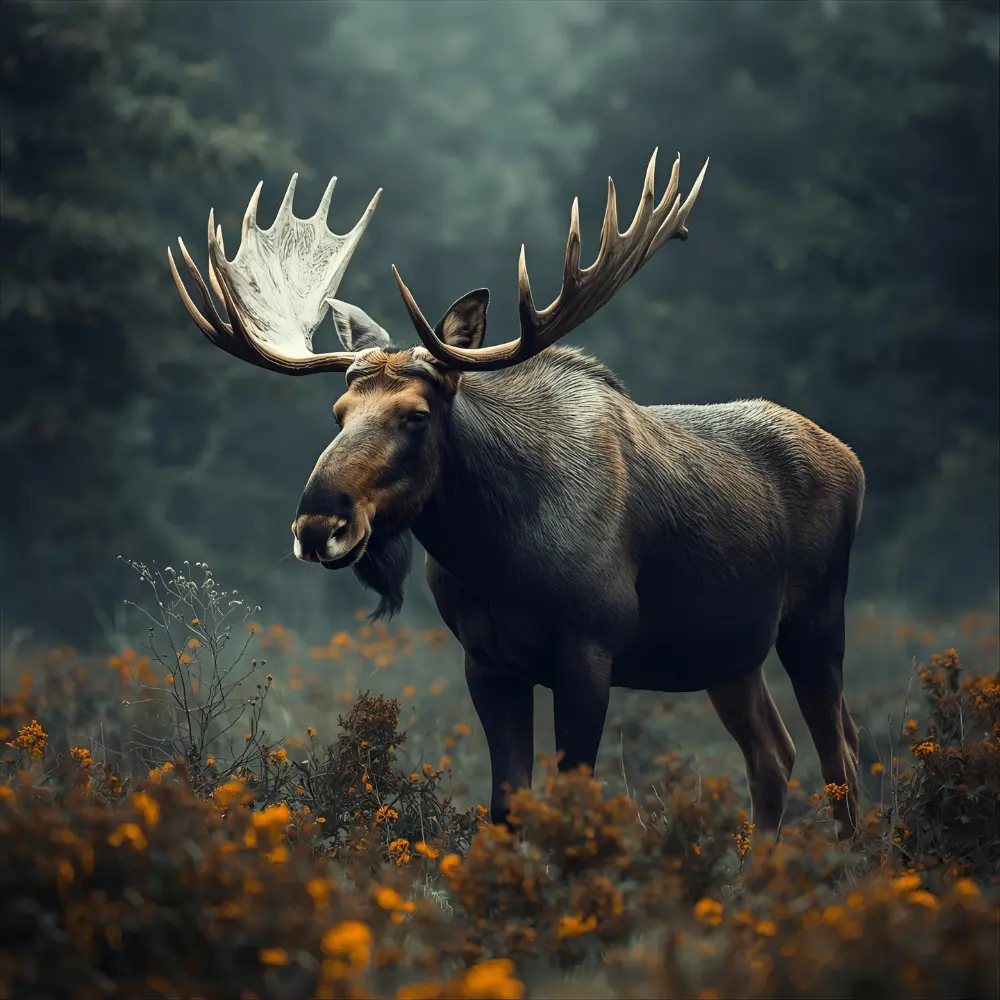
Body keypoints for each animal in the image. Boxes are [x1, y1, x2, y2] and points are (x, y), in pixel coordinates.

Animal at [169, 149, 865, 838]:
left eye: (416, 414)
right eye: (339, 413)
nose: (318, 524)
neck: (498, 557)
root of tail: (852, 458)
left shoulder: (590, 649)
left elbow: (573, 798)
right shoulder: (486, 661)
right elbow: (507, 805)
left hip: (816, 617)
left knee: (842, 754)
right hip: (729, 650)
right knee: (775, 754)